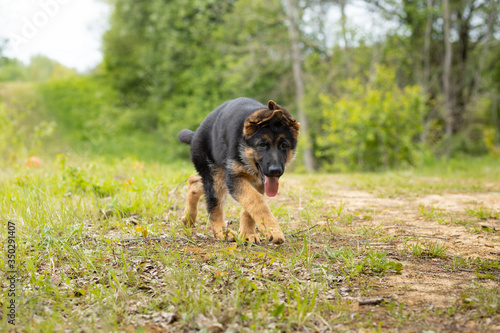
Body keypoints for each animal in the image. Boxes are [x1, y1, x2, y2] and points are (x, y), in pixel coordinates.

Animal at [178, 97, 298, 243]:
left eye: (284, 145)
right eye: (262, 145)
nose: (275, 171)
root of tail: (195, 134)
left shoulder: (257, 182)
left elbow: (250, 206)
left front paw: (248, 234)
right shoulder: (234, 178)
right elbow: (256, 200)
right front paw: (271, 229)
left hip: (217, 176)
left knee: (194, 181)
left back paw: (188, 219)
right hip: (216, 177)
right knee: (214, 205)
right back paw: (221, 232)